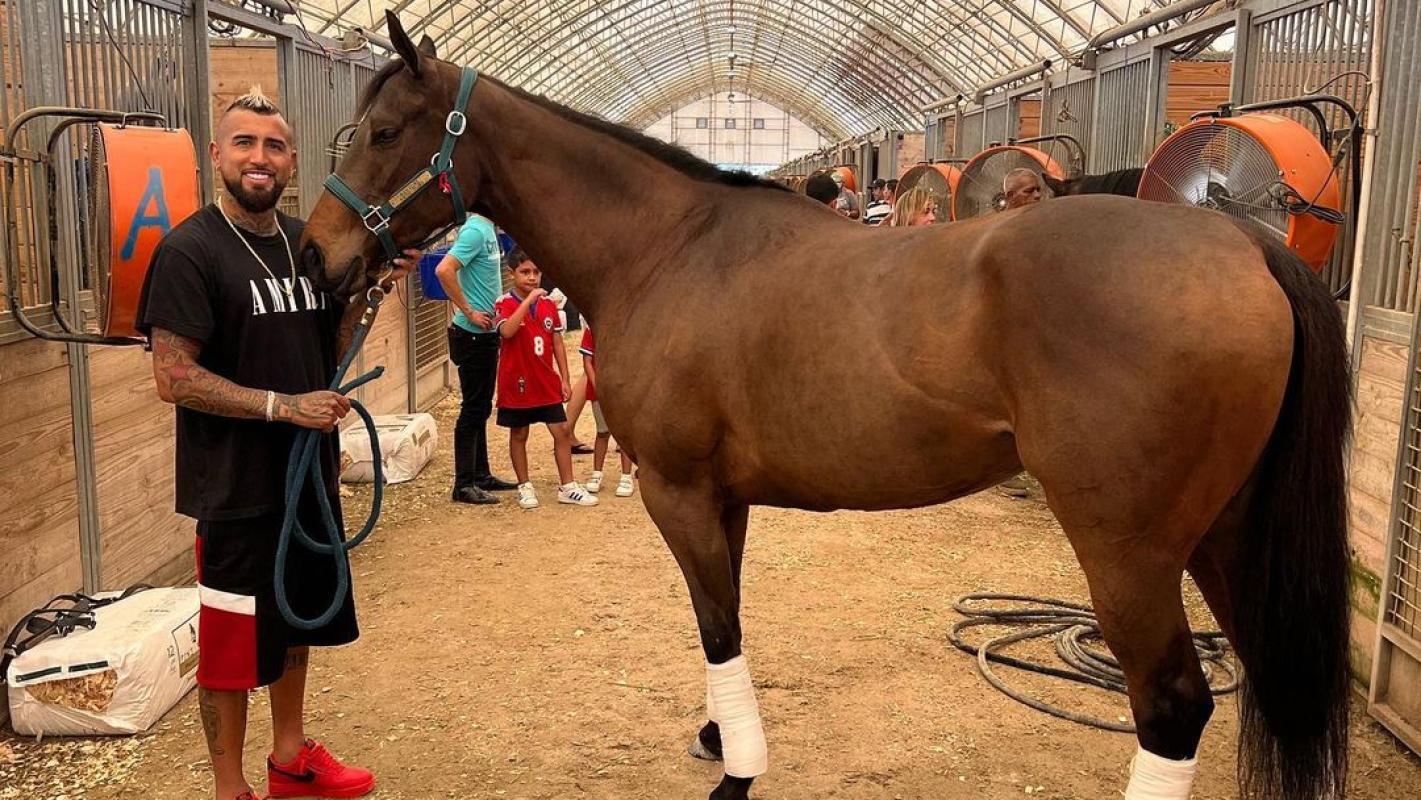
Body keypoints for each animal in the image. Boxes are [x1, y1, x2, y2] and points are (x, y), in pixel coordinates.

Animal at [299, 14, 1352, 800]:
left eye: (385, 131)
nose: (315, 255)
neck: (669, 247)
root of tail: (1239, 244)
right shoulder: (723, 498)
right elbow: (722, 612)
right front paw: (719, 736)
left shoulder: (677, 491)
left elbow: (716, 625)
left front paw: (738, 770)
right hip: (1223, 536)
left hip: (1129, 550)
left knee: (1172, 706)